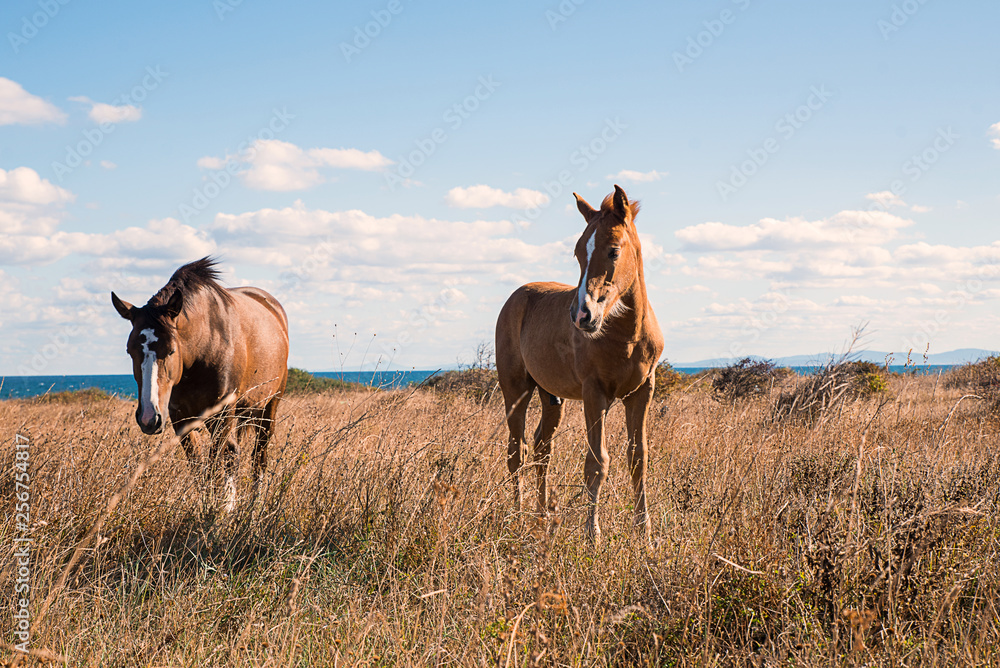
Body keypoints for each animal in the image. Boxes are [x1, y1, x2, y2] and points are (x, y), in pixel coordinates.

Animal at [111, 257, 289, 511]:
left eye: (171, 350)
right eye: (129, 351)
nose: (148, 418)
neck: (204, 345)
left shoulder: (222, 414)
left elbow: (215, 465)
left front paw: (217, 512)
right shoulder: (180, 418)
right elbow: (199, 467)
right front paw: (209, 505)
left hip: (269, 405)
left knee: (258, 456)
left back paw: (255, 504)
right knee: (235, 452)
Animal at [496, 185, 664, 540]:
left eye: (614, 250)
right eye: (576, 253)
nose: (582, 315)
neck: (627, 335)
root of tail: (516, 296)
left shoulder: (642, 391)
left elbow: (638, 458)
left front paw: (645, 534)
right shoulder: (594, 393)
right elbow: (597, 463)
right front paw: (592, 535)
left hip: (550, 396)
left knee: (542, 449)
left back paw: (543, 516)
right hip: (515, 388)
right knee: (517, 451)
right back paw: (518, 518)